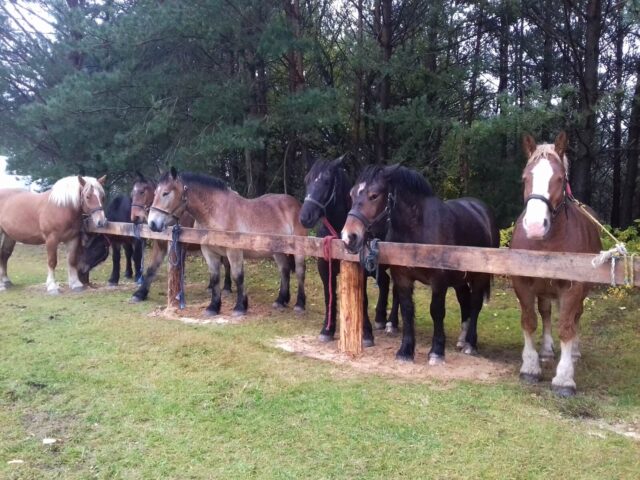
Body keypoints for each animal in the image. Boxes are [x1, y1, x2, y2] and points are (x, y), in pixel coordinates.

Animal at [148, 167, 308, 316]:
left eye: (166, 193)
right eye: (154, 193)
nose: (152, 224)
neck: (218, 213)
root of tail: (295, 203)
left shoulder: (234, 252)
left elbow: (237, 276)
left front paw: (240, 307)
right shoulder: (209, 253)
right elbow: (214, 278)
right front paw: (213, 307)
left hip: (299, 249)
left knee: (300, 272)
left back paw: (299, 304)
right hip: (278, 251)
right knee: (284, 270)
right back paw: (281, 300)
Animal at [298, 156, 398, 346]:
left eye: (326, 181)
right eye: (306, 180)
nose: (305, 217)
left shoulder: (362, 269)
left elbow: (363, 299)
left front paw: (366, 334)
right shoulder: (325, 268)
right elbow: (329, 295)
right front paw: (327, 330)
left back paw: (392, 323)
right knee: (385, 281)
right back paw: (380, 318)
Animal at [342, 165, 498, 364]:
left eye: (374, 195)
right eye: (351, 194)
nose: (348, 237)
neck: (418, 230)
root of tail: (482, 209)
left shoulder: (439, 281)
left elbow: (437, 311)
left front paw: (437, 351)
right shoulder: (402, 278)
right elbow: (407, 310)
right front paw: (405, 351)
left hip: (479, 276)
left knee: (475, 304)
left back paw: (470, 344)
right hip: (460, 279)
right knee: (465, 300)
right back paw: (462, 339)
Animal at [512, 132, 604, 398]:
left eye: (560, 179)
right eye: (525, 177)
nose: (534, 226)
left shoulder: (573, 287)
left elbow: (566, 327)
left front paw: (564, 379)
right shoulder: (522, 283)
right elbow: (530, 321)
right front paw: (530, 367)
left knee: (575, 317)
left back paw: (573, 352)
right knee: (546, 312)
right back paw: (546, 350)